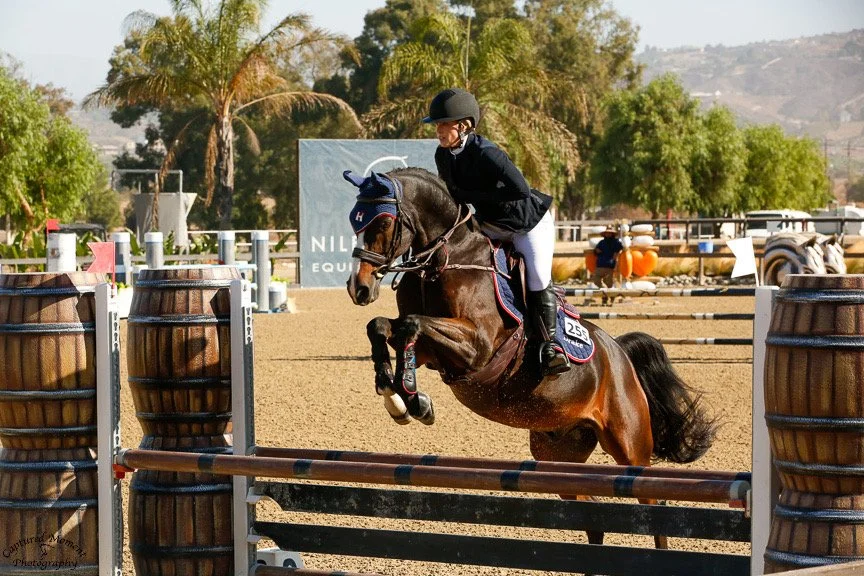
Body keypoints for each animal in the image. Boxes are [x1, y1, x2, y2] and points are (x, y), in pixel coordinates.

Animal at [345, 167, 717, 549]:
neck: (444, 259)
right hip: (556, 452)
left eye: (382, 222)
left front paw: (411, 396)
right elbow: (382, 326)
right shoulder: (432, 352)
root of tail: (620, 354)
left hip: (629, 445)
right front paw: (396, 395)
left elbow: (410, 324)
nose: (359, 288)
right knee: (591, 509)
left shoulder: (478, 348)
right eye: (354, 221)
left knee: (653, 501)